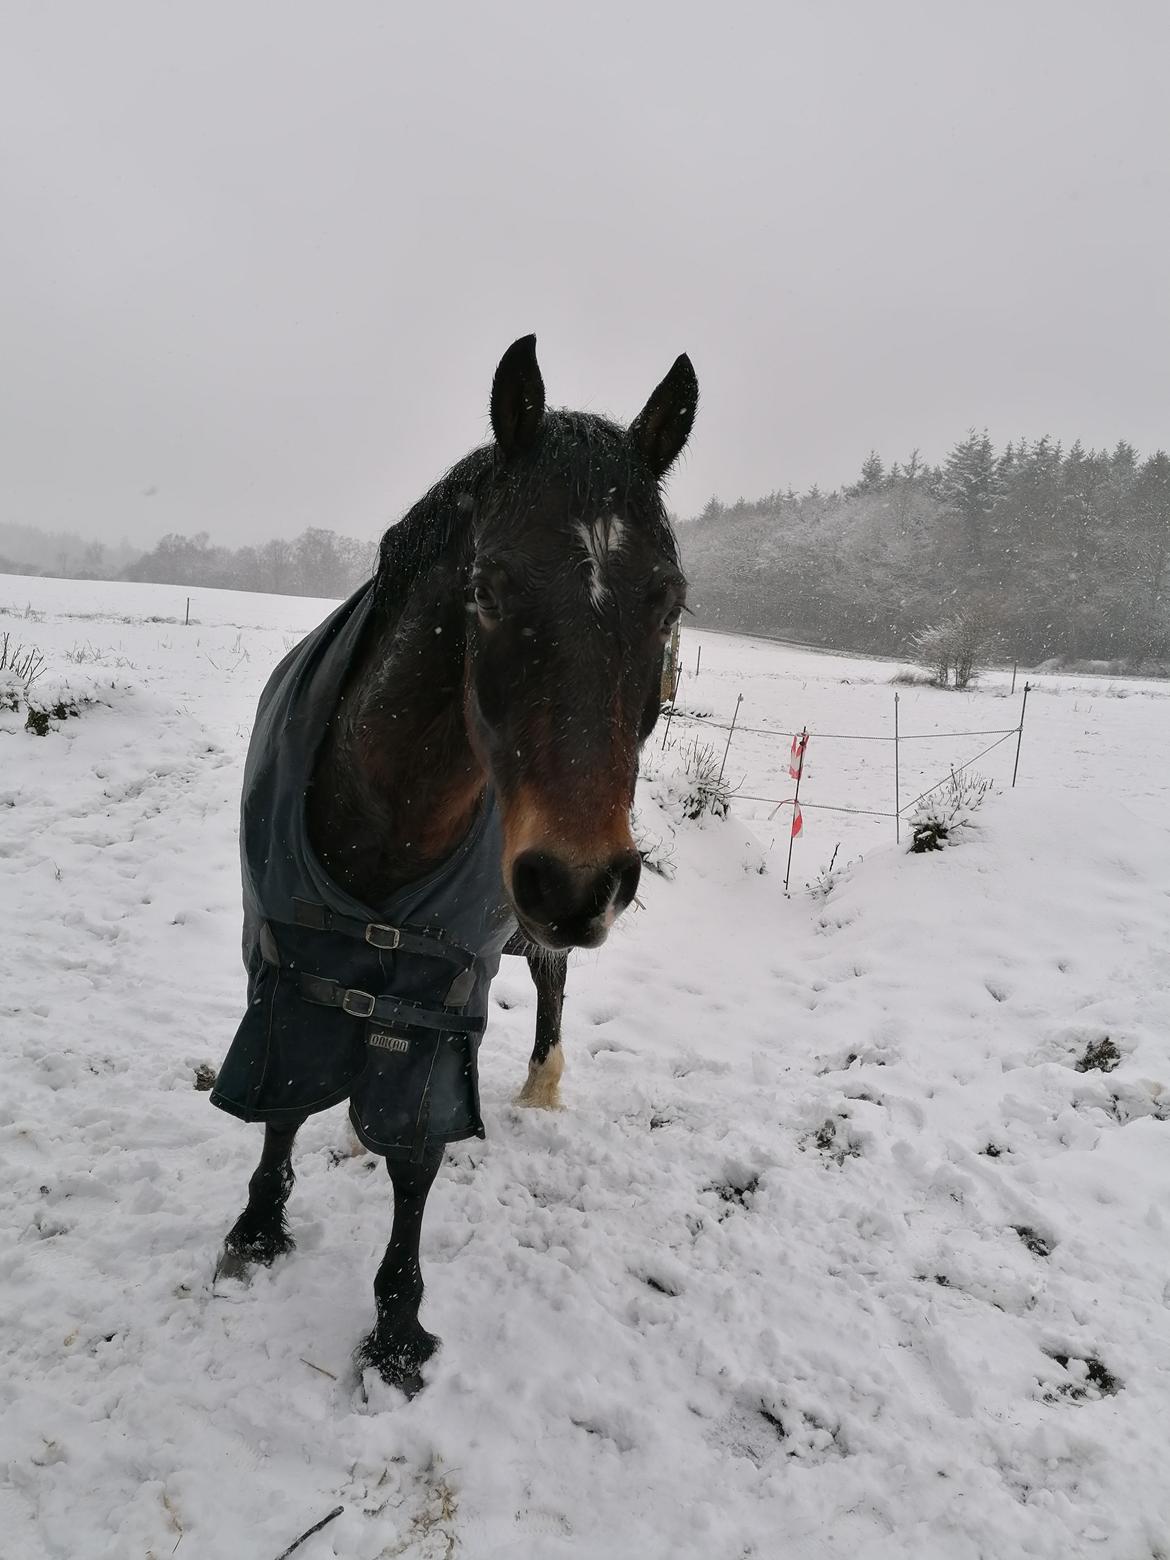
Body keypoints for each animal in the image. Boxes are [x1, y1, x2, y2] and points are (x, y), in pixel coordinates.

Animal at [211, 335, 697, 1393]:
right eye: (489, 587)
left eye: (668, 602)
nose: (577, 881)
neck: (387, 809)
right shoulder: (282, 956)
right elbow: (282, 1095)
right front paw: (259, 1227)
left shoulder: (441, 990)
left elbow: (418, 1153)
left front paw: (396, 1325)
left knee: (551, 987)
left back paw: (541, 1086)